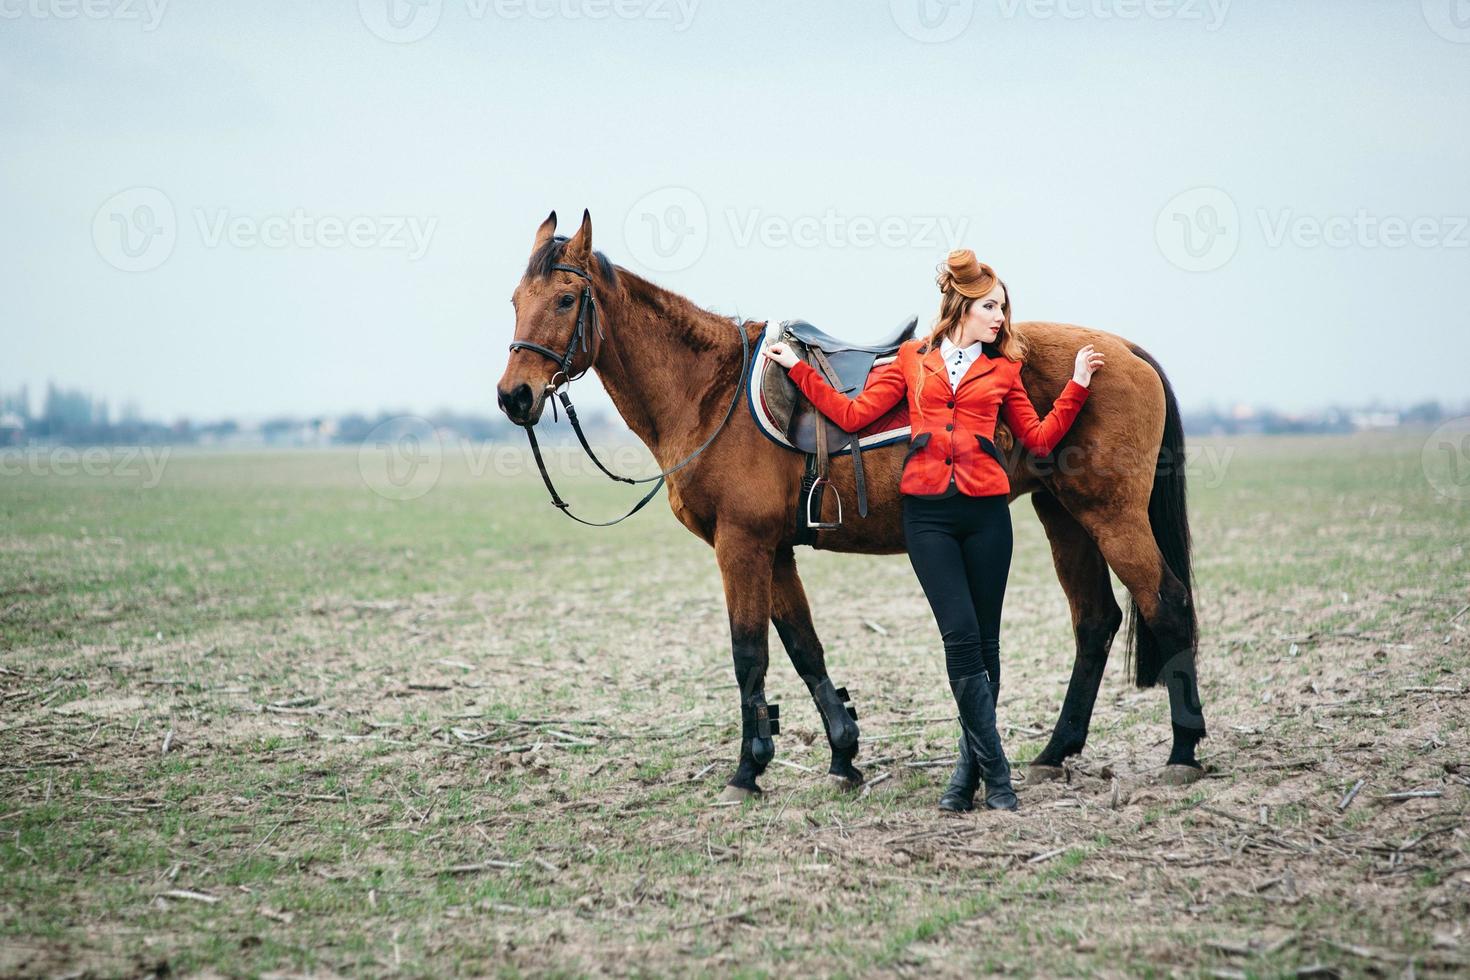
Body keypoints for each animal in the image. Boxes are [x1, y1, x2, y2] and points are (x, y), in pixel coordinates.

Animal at [493, 211, 1205, 799]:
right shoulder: (775, 551)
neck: (711, 392)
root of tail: (1122, 350)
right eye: (515, 301)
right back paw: (1056, 752)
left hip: (1110, 516)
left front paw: (747, 771)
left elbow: (749, 653)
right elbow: (804, 648)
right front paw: (843, 756)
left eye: (565, 299)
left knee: (1165, 602)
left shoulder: (741, 545)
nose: (513, 396)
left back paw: (1183, 751)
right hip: (1065, 517)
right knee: (1096, 621)